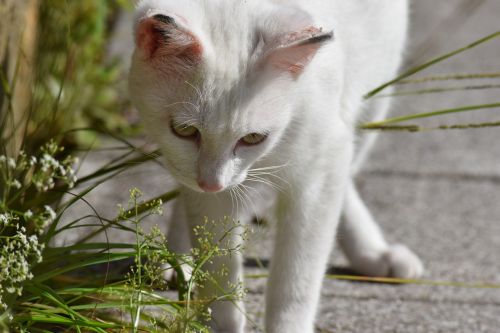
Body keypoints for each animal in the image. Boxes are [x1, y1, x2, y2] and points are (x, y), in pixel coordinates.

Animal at [129, 1, 422, 330]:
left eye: (253, 137)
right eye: (184, 130)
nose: (212, 182)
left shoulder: (321, 164)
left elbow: (296, 277)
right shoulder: (208, 188)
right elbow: (218, 263)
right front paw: (220, 320)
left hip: (373, 98)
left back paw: (373, 253)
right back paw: (178, 261)